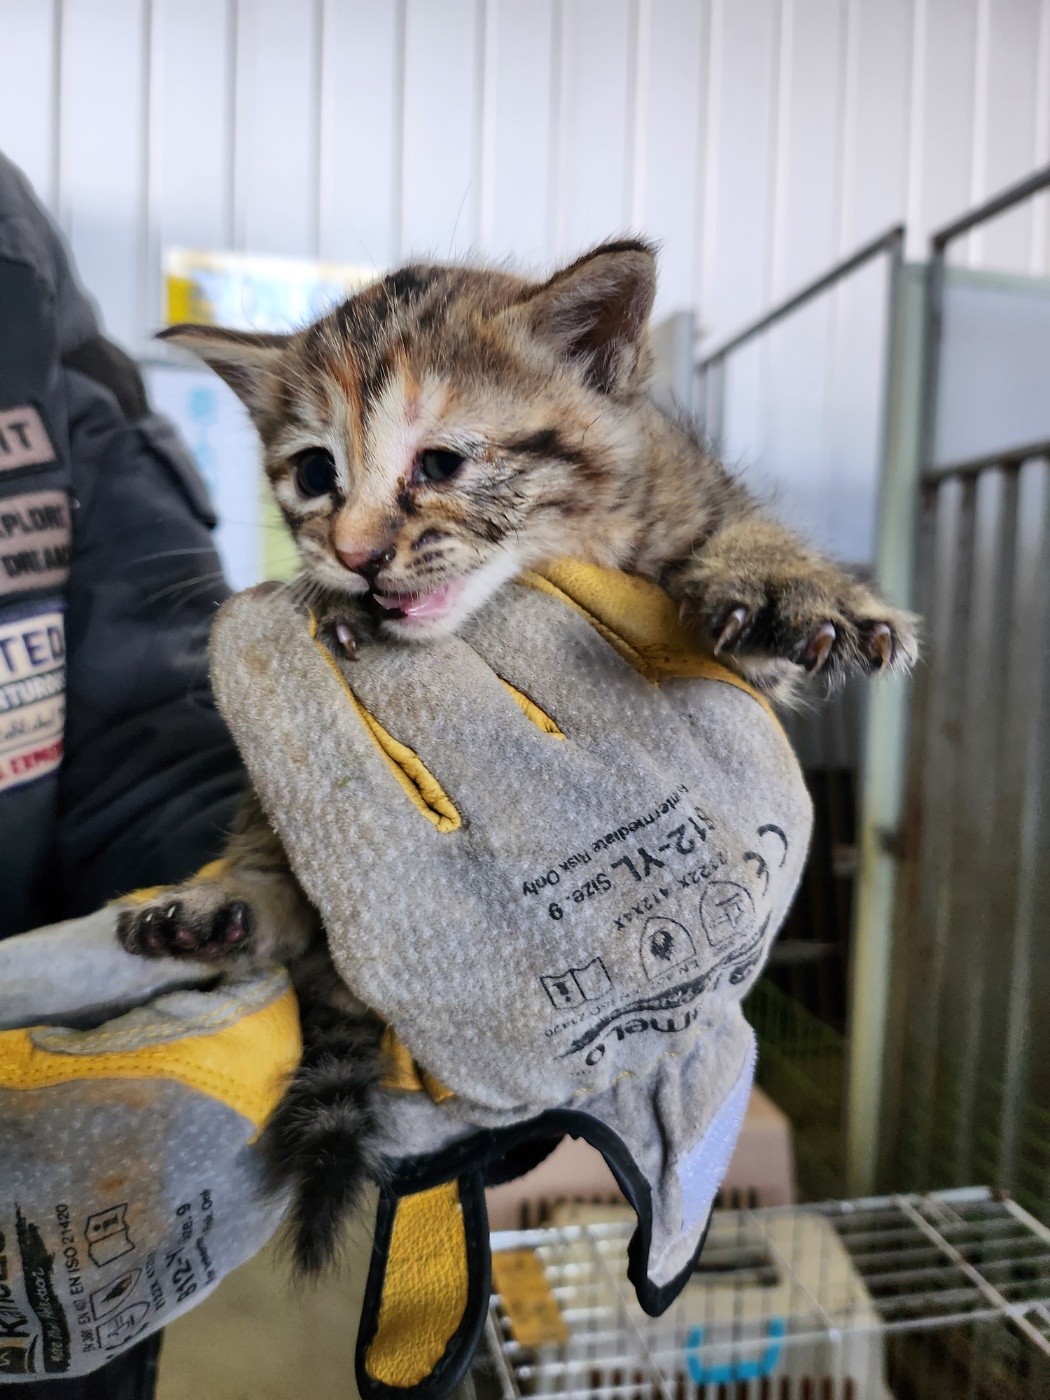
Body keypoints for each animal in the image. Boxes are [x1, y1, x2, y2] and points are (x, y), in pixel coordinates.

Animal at [119, 238, 918, 1271]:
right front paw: (332, 604)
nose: (356, 556)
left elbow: (740, 553)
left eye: (443, 462)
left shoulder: (694, 515)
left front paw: (795, 584)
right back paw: (227, 907)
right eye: (313, 472)